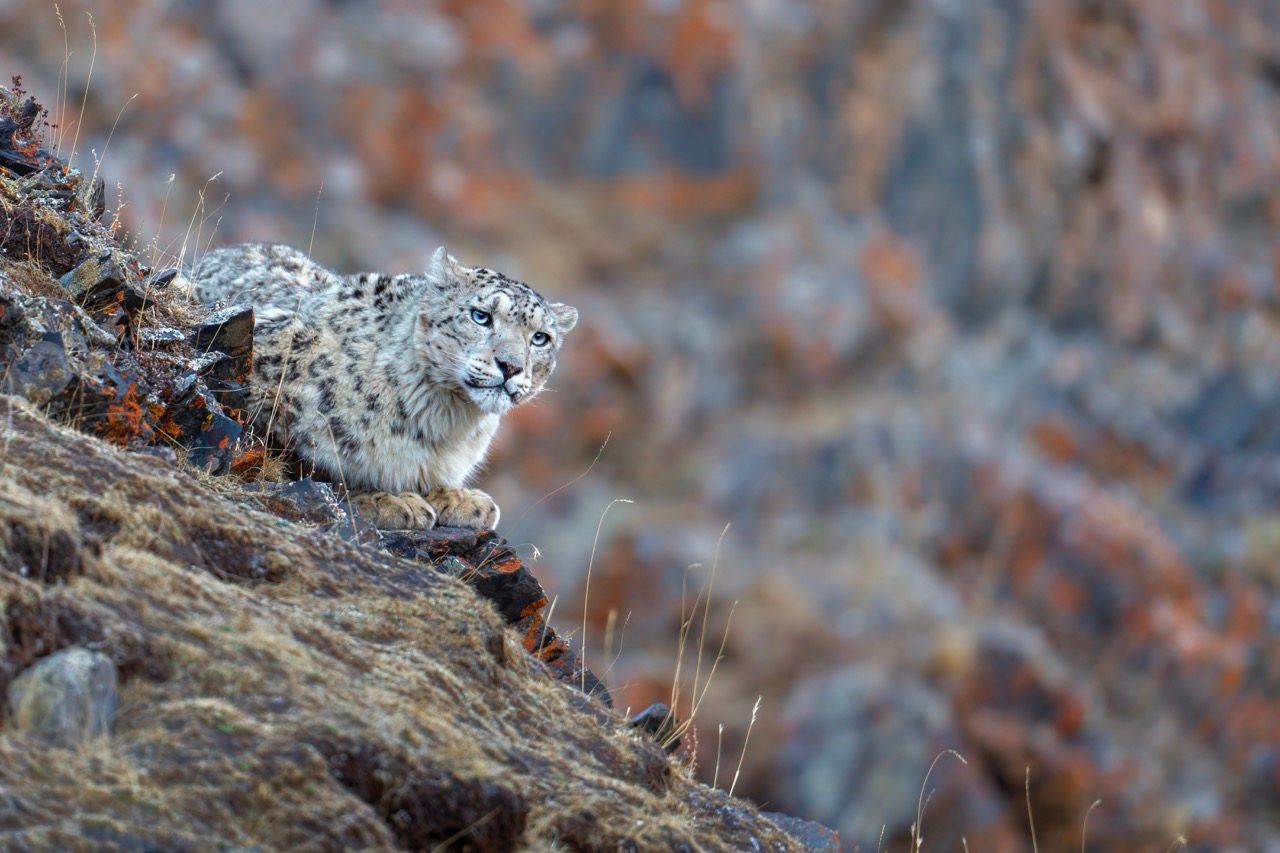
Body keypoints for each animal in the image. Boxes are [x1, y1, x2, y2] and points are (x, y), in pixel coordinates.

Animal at [190, 242, 577, 530]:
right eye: (480, 315)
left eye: (540, 338)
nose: (511, 366)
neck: (444, 422)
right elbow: (306, 463)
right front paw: (389, 500)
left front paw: (461, 499)